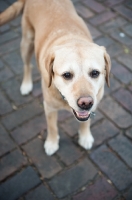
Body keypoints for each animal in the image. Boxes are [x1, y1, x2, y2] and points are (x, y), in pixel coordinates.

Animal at [0, 0, 110, 155]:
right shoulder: (49, 107)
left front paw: (85, 136)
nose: (86, 103)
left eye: (95, 73)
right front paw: (51, 143)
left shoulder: (92, 106)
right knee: (27, 65)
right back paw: (26, 84)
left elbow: (86, 121)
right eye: (67, 75)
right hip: (27, 43)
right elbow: (52, 128)